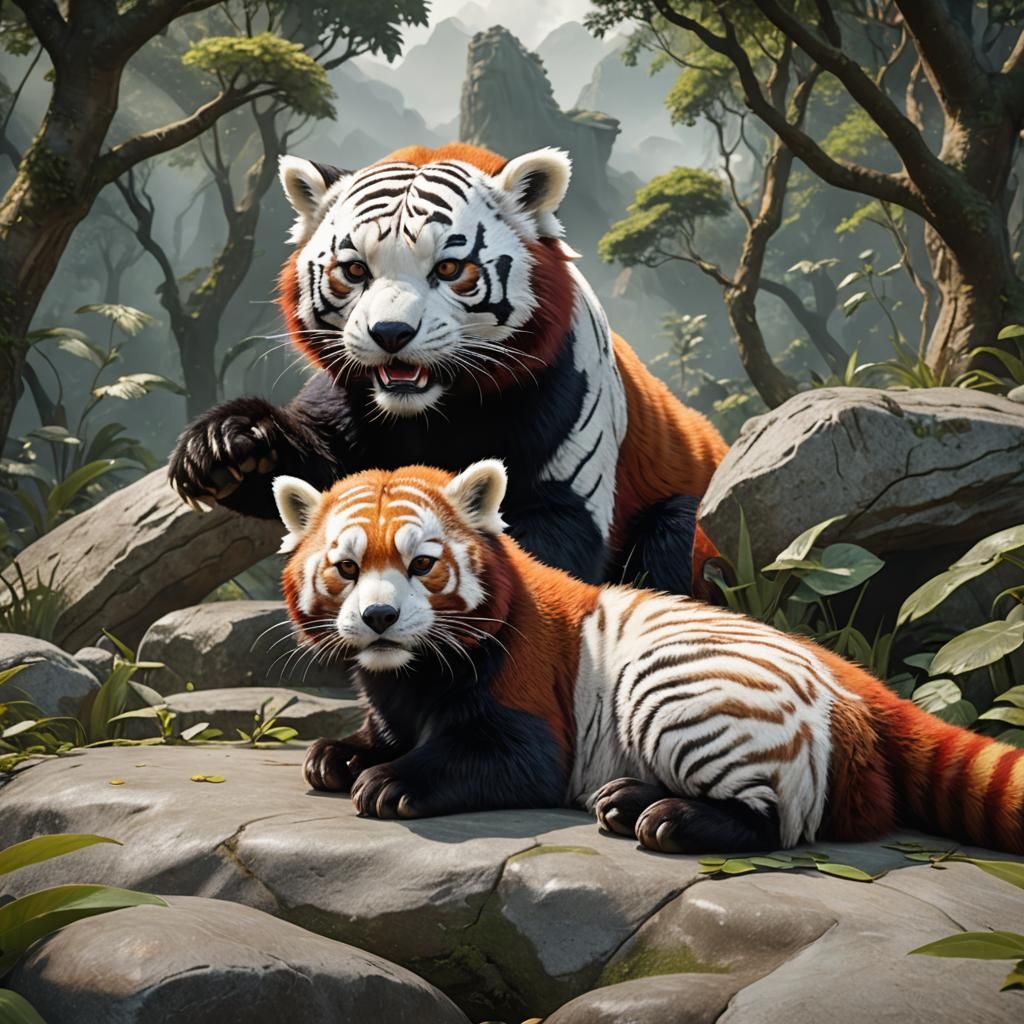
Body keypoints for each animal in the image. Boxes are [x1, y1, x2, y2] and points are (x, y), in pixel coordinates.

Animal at [168, 143, 727, 596]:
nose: (390, 333)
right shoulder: (351, 395)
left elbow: (552, 528)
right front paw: (227, 448)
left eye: (450, 269)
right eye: (355, 270)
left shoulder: (565, 405)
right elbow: (318, 463)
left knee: (676, 532)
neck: (430, 409)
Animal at [273, 459, 1024, 855]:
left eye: (421, 564)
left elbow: (509, 757)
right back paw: (627, 799)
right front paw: (342, 754)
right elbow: (382, 729)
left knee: (776, 815)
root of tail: (841, 675)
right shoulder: (390, 691)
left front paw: (393, 780)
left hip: (683, 687)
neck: (411, 672)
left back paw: (675, 818)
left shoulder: (525, 680)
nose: (379, 619)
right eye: (344, 568)